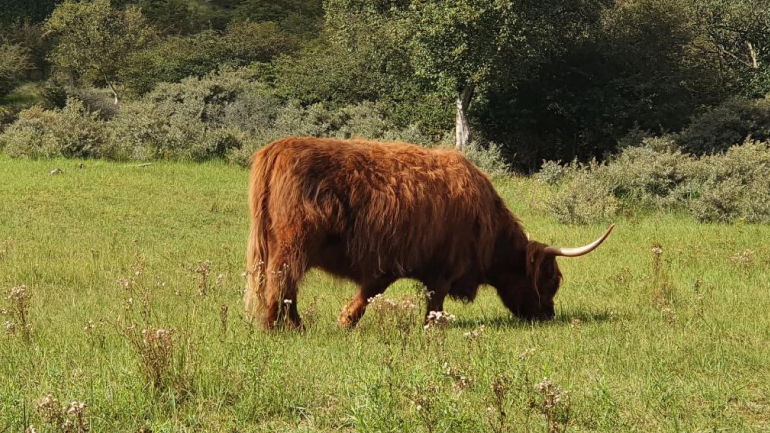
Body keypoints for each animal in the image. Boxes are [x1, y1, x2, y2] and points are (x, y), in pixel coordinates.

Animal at [244, 137, 612, 330]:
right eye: (550, 281)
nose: (548, 316)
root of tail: (280, 147)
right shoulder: (441, 268)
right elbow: (429, 299)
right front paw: (433, 326)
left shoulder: (392, 262)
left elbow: (370, 292)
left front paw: (345, 320)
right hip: (293, 243)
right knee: (282, 280)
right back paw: (280, 327)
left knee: (287, 285)